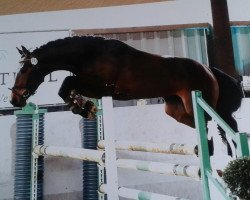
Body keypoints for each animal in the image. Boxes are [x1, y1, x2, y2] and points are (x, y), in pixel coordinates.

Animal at [9, 35, 242, 156]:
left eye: (24, 70)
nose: (14, 100)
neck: (90, 54)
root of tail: (208, 69)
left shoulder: (101, 88)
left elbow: (67, 83)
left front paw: (84, 108)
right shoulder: (93, 87)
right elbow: (66, 87)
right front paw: (83, 107)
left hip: (195, 104)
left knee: (217, 125)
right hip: (176, 110)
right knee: (212, 126)